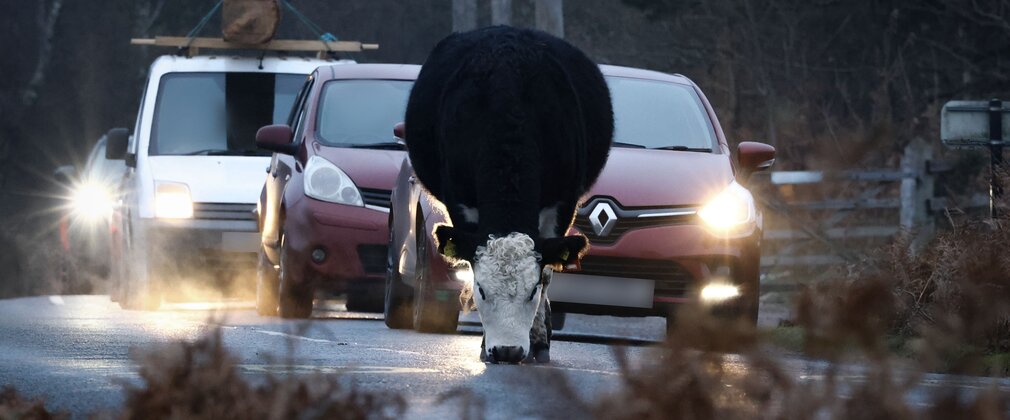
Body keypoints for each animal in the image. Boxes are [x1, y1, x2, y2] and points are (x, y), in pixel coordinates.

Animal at [405, 26, 613, 364]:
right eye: (481, 289)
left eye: (532, 290)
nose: (507, 351)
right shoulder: (460, 201)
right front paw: (483, 345)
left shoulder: (562, 203)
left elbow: (550, 271)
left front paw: (539, 341)